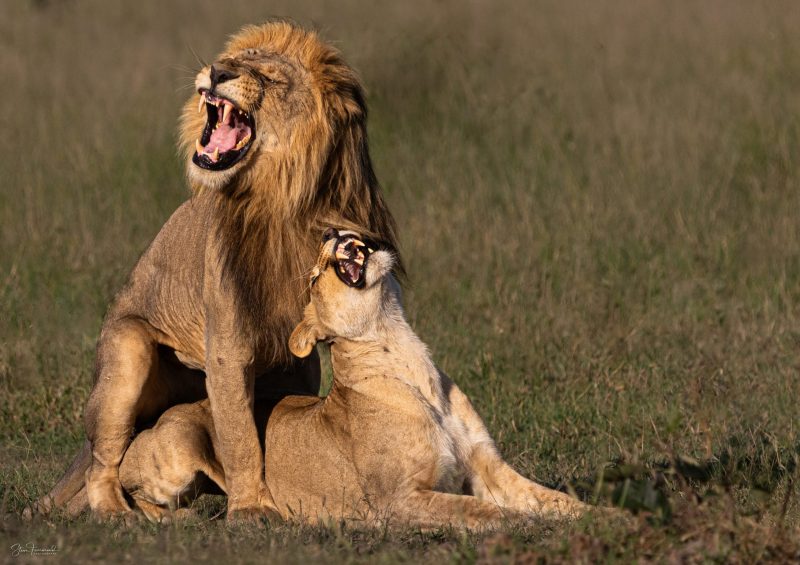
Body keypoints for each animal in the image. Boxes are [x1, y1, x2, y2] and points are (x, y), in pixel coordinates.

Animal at [31, 21, 401, 523]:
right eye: (233, 61)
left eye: (269, 77)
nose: (218, 71)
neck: (283, 201)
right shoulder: (228, 341)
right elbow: (240, 436)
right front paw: (251, 508)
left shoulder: (296, 351)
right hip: (128, 352)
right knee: (103, 463)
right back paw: (116, 514)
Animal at [64, 230, 591, 529]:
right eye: (317, 274)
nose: (333, 231)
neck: (401, 346)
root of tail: (155, 421)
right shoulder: (399, 498)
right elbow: (484, 512)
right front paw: (522, 524)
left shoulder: (490, 469)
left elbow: (559, 500)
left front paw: (603, 520)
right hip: (174, 452)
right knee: (125, 489)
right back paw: (176, 519)